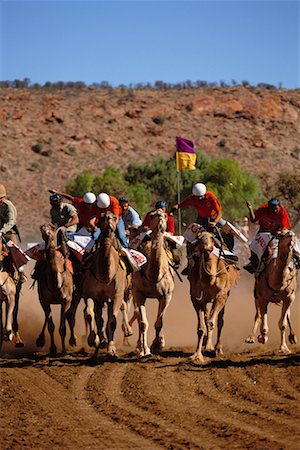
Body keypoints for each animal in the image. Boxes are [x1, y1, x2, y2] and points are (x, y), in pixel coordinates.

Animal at [35, 223, 74, 356]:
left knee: (70, 317)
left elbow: (62, 328)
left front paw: (64, 350)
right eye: (42, 228)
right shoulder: (44, 301)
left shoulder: (66, 301)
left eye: (52, 228)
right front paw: (52, 348)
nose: (47, 233)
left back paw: (72, 341)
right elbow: (51, 326)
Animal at [80, 211, 126, 358]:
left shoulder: (117, 296)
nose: (109, 222)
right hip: (100, 300)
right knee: (98, 318)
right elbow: (90, 314)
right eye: (101, 218)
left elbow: (112, 321)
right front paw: (93, 340)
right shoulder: (90, 295)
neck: (105, 275)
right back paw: (100, 342)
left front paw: (111, 349)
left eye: (115, 218)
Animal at [132, 209, 176, 356]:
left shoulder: (166, 295)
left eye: (165, 215)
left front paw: (158, 345)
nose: (160, 219)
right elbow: (143, 323)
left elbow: (159, 322)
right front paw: (145, 350)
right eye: (152, 216)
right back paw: (138, 346)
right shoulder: (138, 293)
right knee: (138, 316)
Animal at [189, 230, 238, 364]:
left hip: (225, 297)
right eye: (199, 238)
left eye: (211, 237)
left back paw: (217, 348)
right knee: (207, 317)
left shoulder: (220, 296)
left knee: (220, 320)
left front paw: (210, 349)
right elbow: (201, 327)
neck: (209, 279)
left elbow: (211, 322)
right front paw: (197, 355)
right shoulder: (196, 300)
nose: (207, 246)